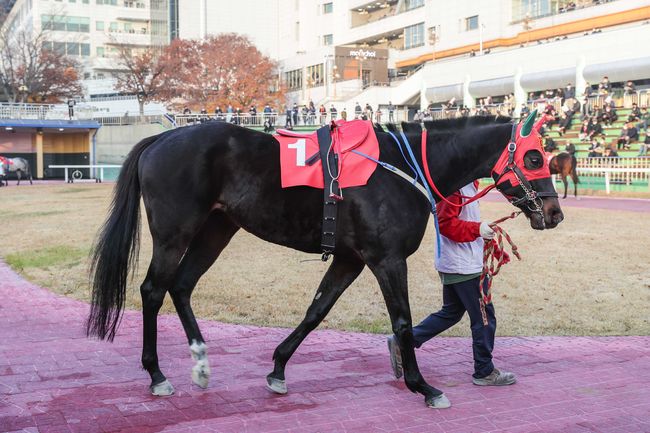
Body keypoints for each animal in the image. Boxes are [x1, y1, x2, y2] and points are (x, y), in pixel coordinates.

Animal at [87, 112, 560, 408]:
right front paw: (423, 386)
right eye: (535, 156)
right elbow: (402, 322)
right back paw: (156, 375)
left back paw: (201, 363)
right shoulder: (387, 259)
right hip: (175, 233)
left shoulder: (350, 259)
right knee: (153, 289)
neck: (400, 167)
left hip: (217, 229)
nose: (554, 213)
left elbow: (317, 310)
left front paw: (278, 368)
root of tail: (161, 137)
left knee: (182, 286)